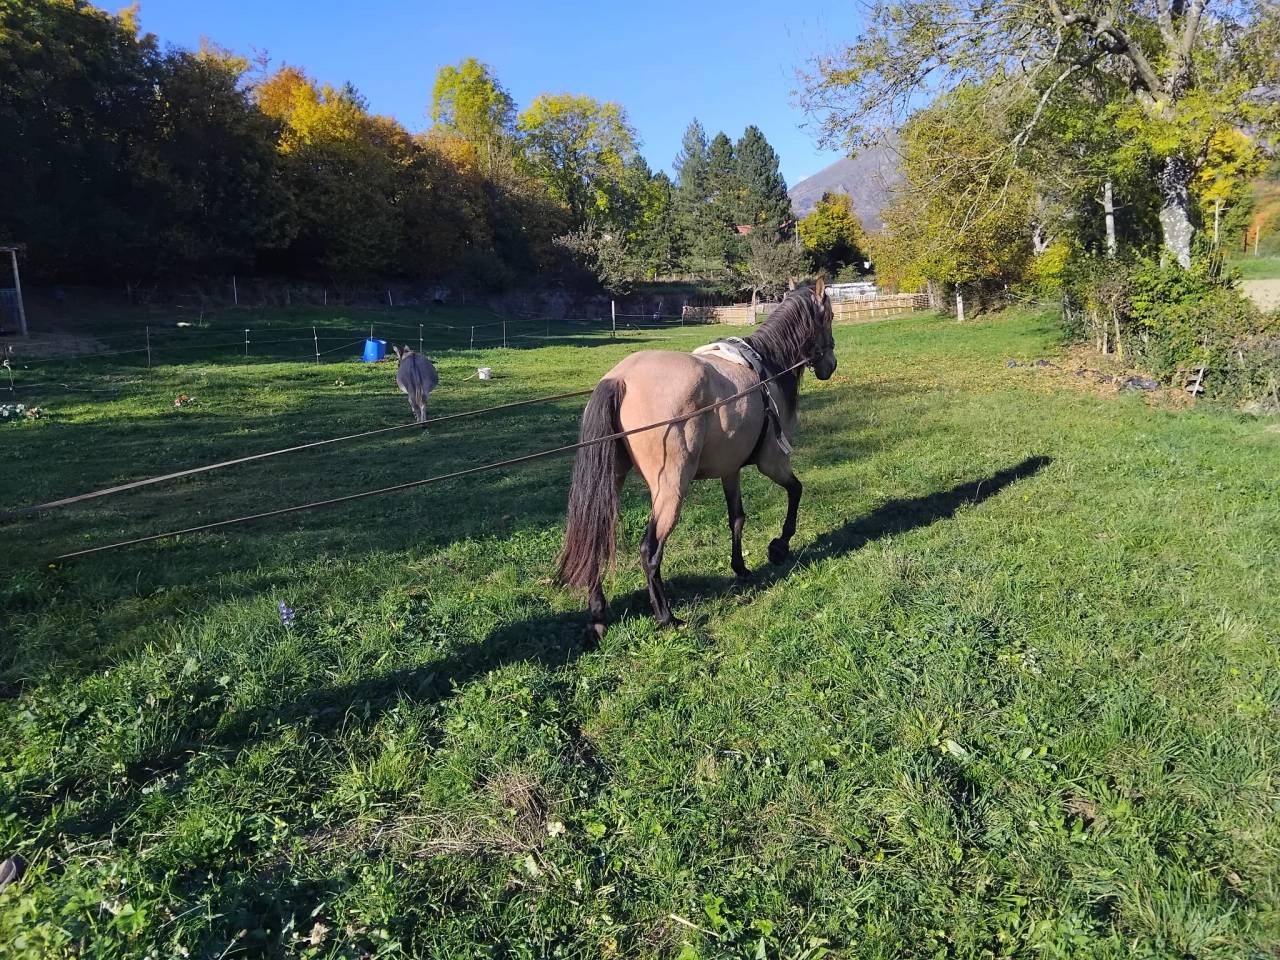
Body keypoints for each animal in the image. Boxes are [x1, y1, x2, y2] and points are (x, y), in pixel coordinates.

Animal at [557, 280, 837, 641]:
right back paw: (665, 616)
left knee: (597, 541)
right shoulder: (773, 462)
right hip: (672, 488)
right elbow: (796, 491)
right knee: (650, 551)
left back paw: (597, 616)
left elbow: (737, 518)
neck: (769, 370)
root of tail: (620, 379)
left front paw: (740, 567)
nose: (831, 364)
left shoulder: (730, 470)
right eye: (829, 316)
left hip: (611, 483)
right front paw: (779, 546)